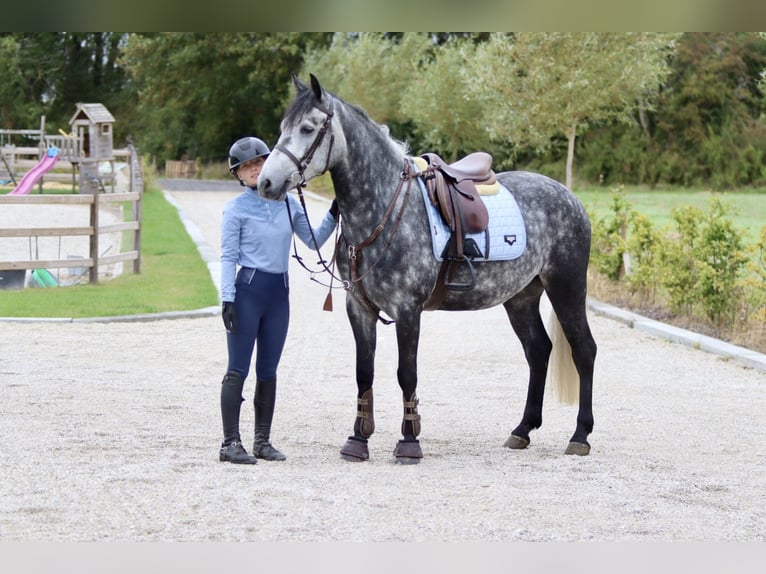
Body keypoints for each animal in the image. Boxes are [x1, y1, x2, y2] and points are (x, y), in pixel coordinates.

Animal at [257, 74, 597, 462]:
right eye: (282, 127)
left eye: (308, 127)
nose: (266, 183)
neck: (384, 208)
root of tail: (570, 198)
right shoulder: (359, 307)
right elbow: (364, 372)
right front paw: (358, 440)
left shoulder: (408, 310)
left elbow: (407, 374)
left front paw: (409, 442)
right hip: (521, 297)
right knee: (538, 351)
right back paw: (522, 430)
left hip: (566, 287)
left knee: (584, 350)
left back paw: (580, 435)